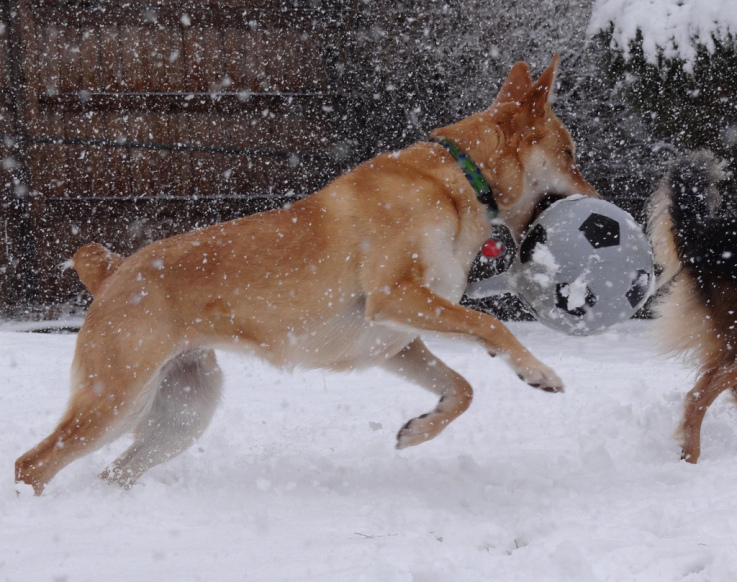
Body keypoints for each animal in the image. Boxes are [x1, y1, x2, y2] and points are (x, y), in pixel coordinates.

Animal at [15, 54, 600, 496]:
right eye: (570, 155)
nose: (601, 202)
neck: (458, 179)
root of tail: (114, 272)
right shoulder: (394, 296)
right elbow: (491, 326)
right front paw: (537, 371)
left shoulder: (394, 341)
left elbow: (461, 389)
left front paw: (418, 432)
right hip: (116, 400)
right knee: (32, 464)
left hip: (181, 412)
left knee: (113, 472)